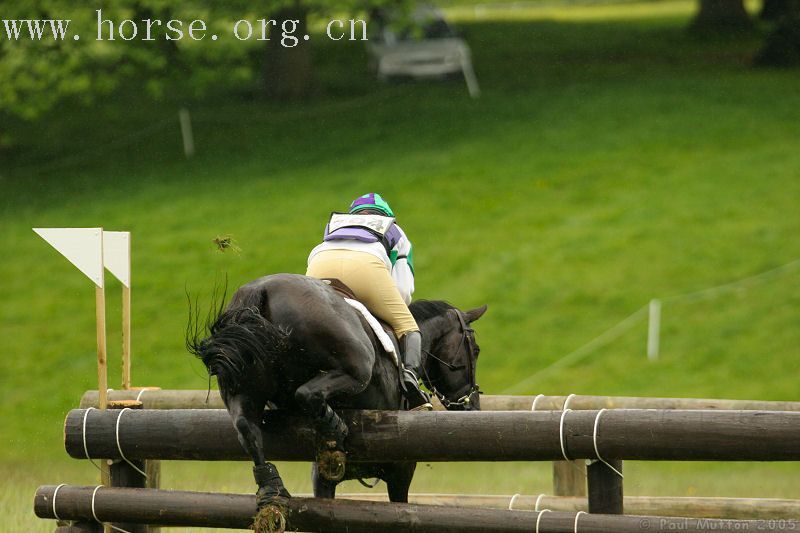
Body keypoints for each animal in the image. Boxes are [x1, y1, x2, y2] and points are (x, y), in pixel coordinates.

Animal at [188, 272, 488, 510]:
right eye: (475, 350)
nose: (472, 405)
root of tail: (259, 291)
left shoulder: (322, 478)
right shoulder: (401, 468)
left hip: (242, 385)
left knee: (246, 426)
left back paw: (272, 487)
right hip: (356, 364)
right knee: (308, 393)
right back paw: (334, 427)